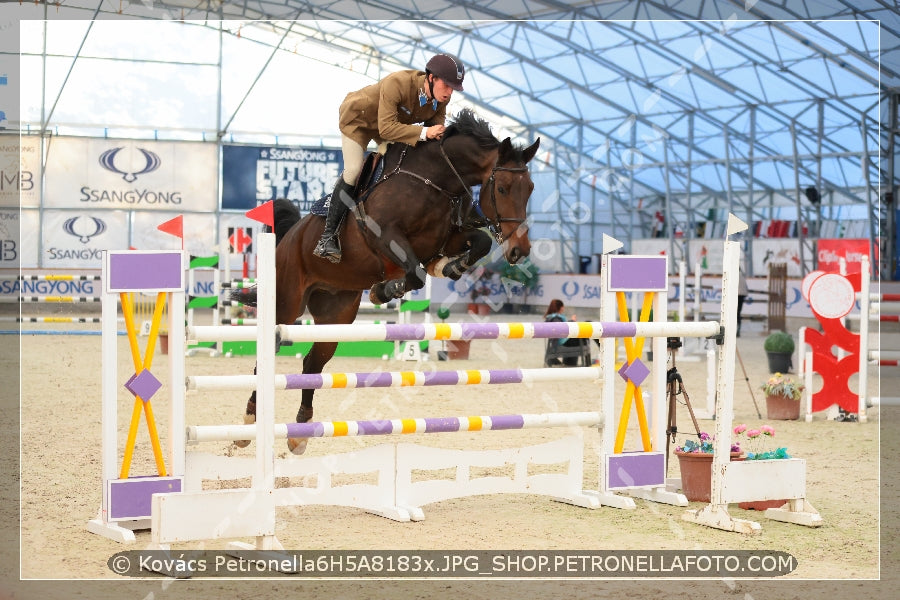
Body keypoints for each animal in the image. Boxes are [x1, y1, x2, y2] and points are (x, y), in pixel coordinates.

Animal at [236, 109, 540, 454]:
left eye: (530, 189)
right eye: (502, 188)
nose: (519, 250)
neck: (437, 181)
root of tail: (289, 236)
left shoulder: (446, 237)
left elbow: (479, 243)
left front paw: (446, 267)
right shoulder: (384, 234)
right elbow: (414, 272)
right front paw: (385, 290)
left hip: (336, 313)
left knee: (313, 363)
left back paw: (299, 432)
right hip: (286, 305)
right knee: (266, 358)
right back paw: (248, 424)